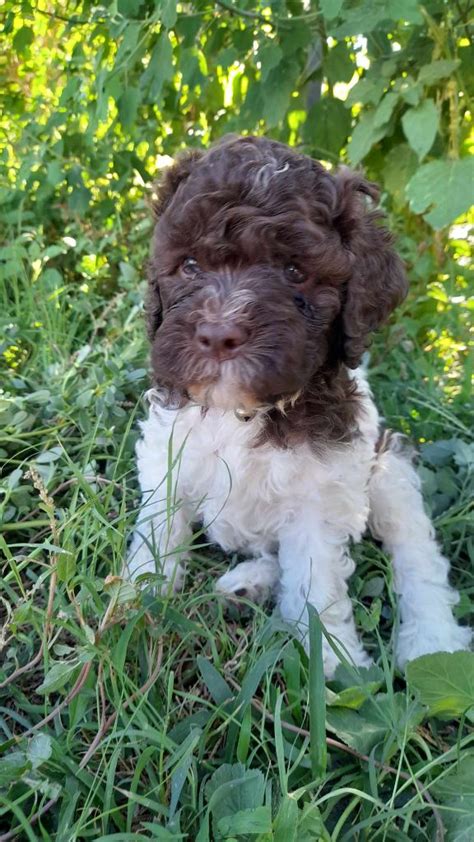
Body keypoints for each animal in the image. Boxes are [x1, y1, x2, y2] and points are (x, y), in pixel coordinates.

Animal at [126, 138, 470, 676]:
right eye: (190, 266)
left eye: (294, 272)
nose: (219, 335)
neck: (241, 414)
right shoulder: (169, 454)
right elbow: (159, 534)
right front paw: (132, 607)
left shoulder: (322, 494)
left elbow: (315, 579)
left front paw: (331, 663)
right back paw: (247, 584)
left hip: (388, 466)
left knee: (415, 549)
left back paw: (432, 640)